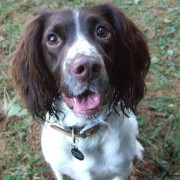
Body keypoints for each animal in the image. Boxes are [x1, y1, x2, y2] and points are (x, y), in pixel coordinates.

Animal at [12, 3, 150, 180]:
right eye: (52, 38)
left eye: (102, 31)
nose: (88, 67)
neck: (82, 133)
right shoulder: (58, 168)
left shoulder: (121, 170)